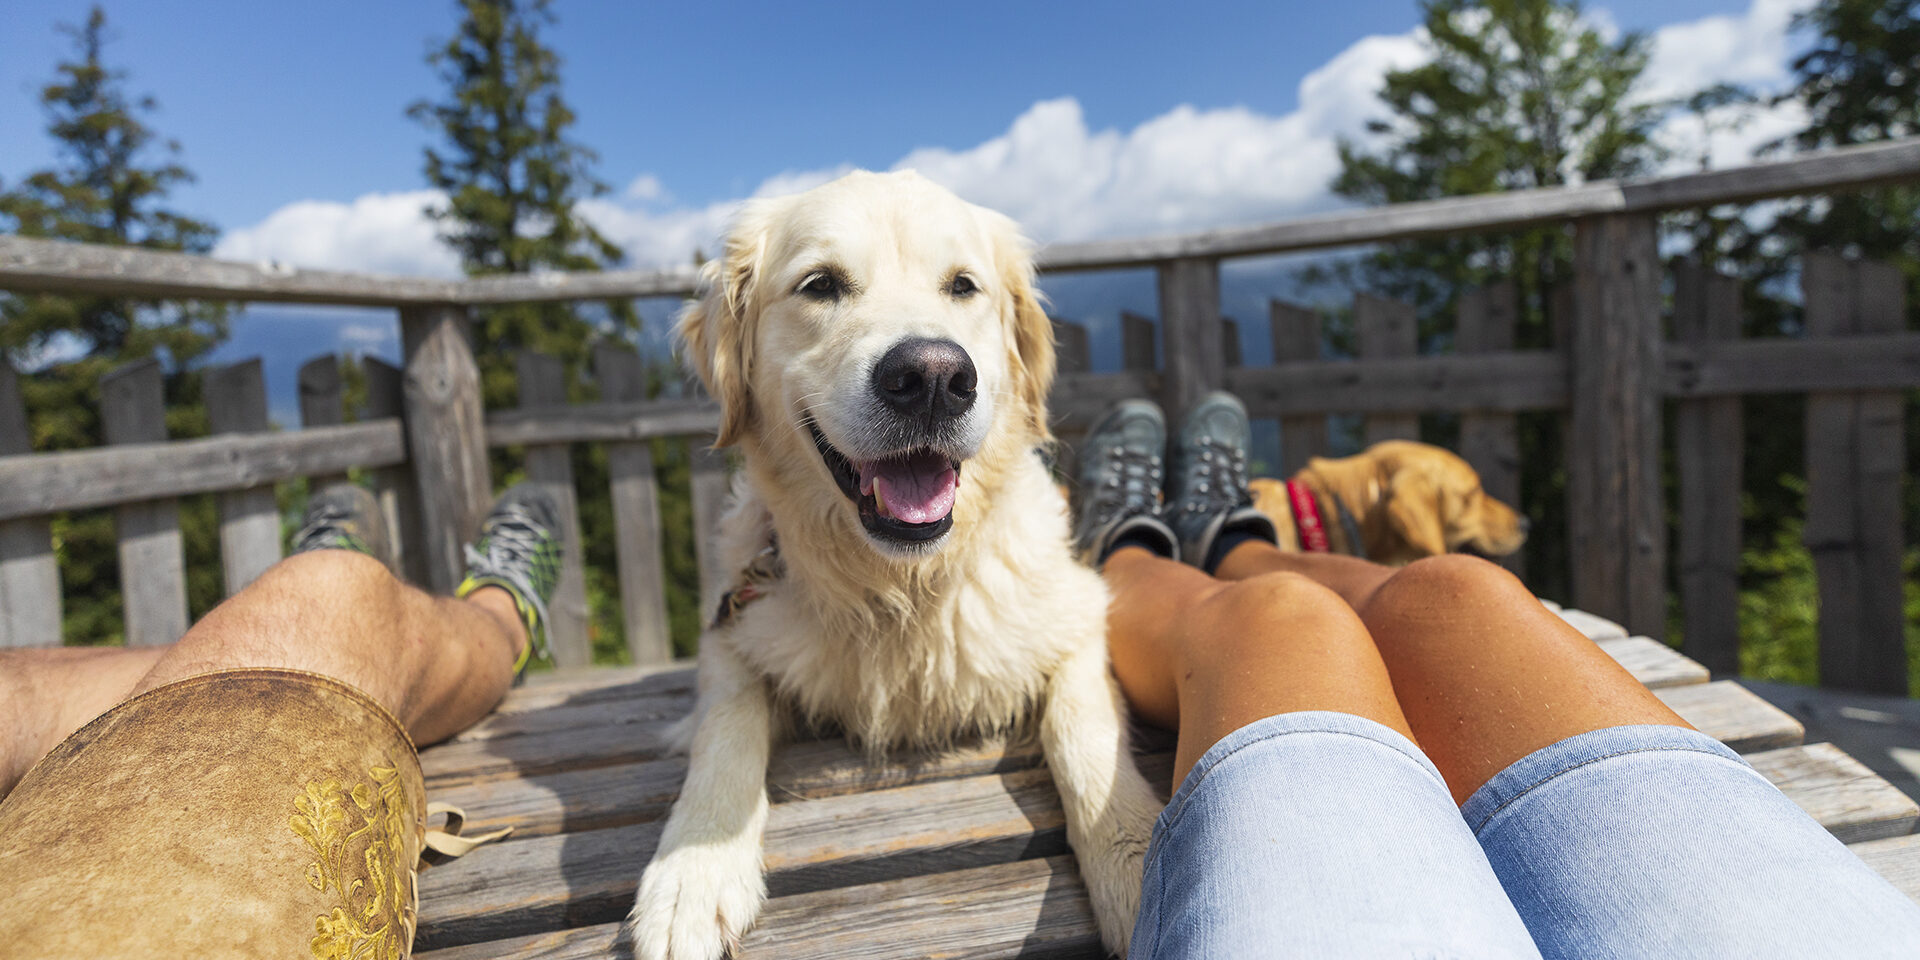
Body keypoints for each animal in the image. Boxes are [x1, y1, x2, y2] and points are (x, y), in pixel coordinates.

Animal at [629, 172, 1159, 960]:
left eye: (963, 286)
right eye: (820, 284)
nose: (933, 376)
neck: (902, 588)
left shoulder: (1079, 618)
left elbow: (1084, 735)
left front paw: (1139, 860)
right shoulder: (732, 631)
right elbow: (724, 729)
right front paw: (692, 871)